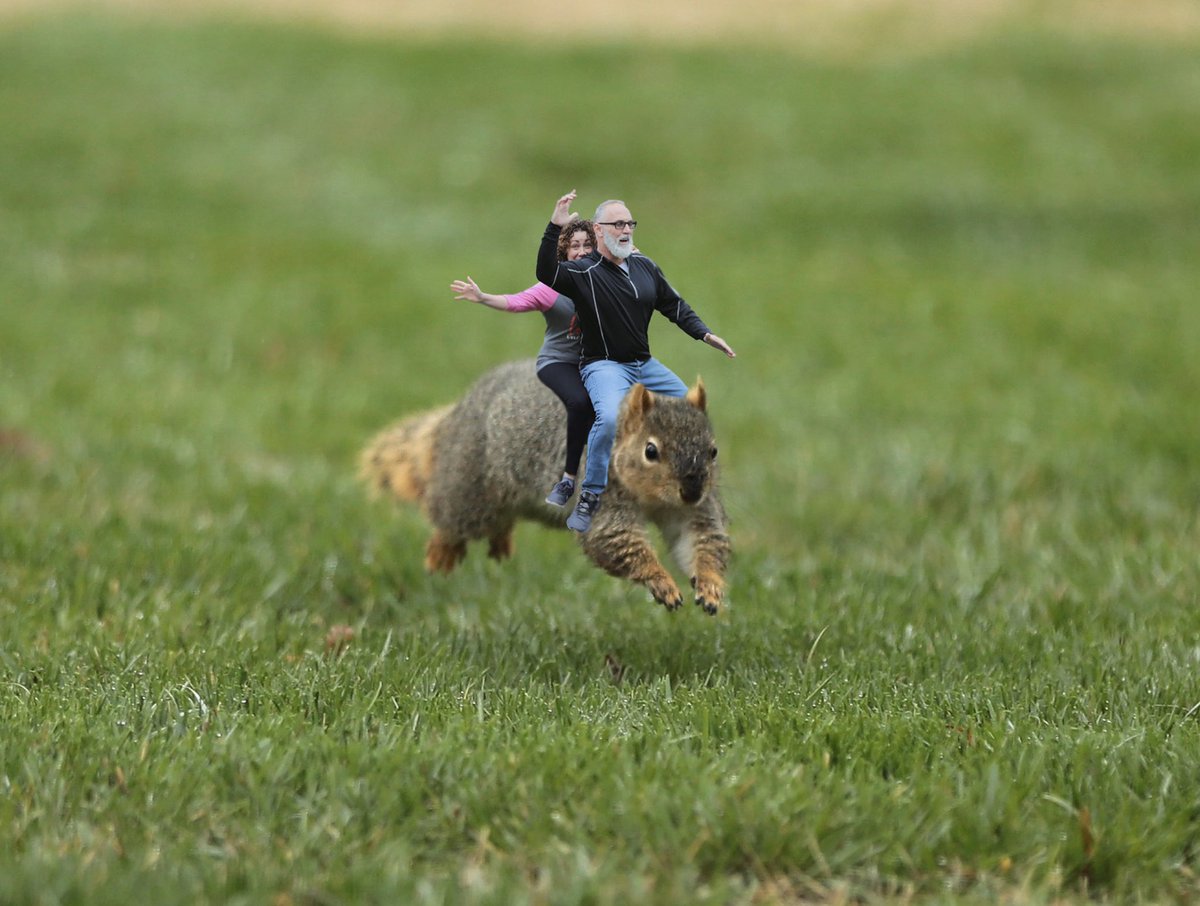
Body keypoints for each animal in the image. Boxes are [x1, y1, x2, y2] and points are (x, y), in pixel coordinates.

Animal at [360, 359, 731, 615]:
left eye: (713, 451)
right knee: (451, 519)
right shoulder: (601, 498)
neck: (652, 498)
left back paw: (499, 543)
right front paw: (661, 582)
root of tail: (457, 415)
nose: (692, 492)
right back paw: (442, 553)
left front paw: (710, 585)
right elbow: (615, 541)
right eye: (650, 451)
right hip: (469, 488)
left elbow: (700, 540)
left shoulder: (693, 511)